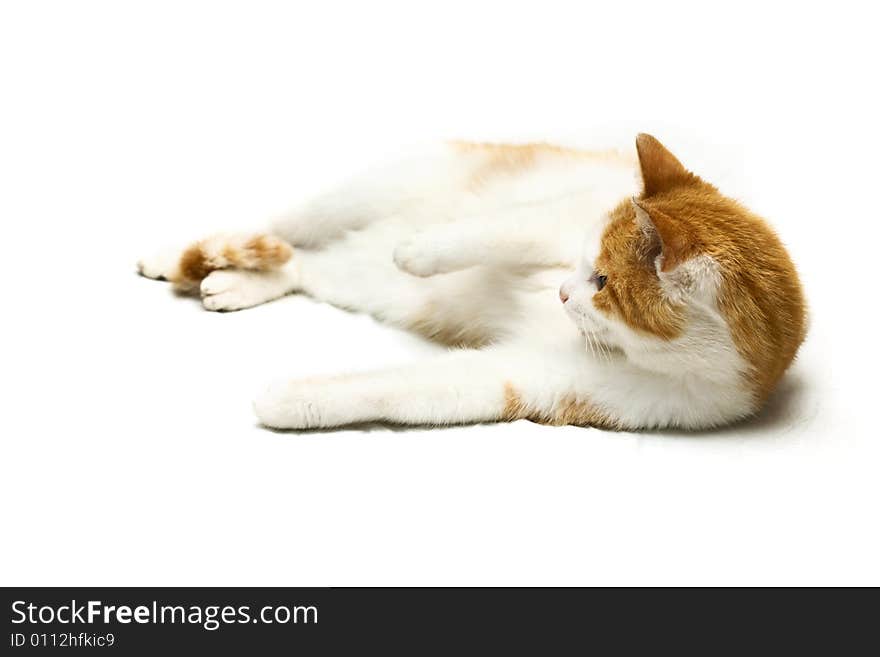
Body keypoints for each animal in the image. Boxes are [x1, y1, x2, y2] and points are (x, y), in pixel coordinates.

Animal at [138, 133, 804, 430]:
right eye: (586, 267)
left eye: (602, 284)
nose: (562, 293)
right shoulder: (556, 216)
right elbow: (497, 231)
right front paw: (420, 250)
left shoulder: (545, 384)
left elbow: (411, 388)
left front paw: (295, 399)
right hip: (354, 195)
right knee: (280, 228)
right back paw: (172, 255)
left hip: (357, 279)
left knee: (304, 267)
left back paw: (240, 283)